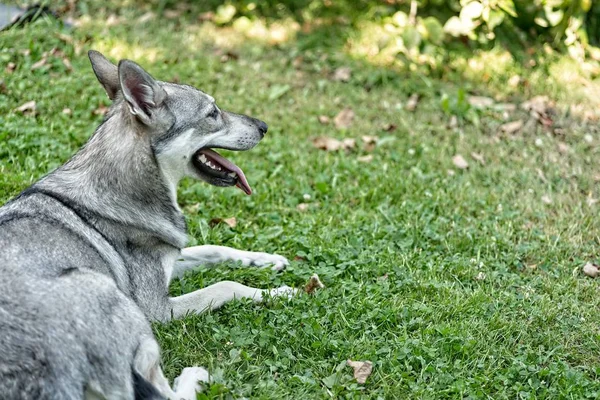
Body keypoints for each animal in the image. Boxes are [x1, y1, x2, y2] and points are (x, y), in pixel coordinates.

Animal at [0, 51, 296, 398]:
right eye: (212, 113)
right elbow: (226, 285)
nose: (264, 126)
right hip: (111, 297)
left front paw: (267, 260)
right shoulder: (158, 308)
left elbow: (215, 248)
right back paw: (195, 375)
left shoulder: (170, 259)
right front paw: (280, 292)